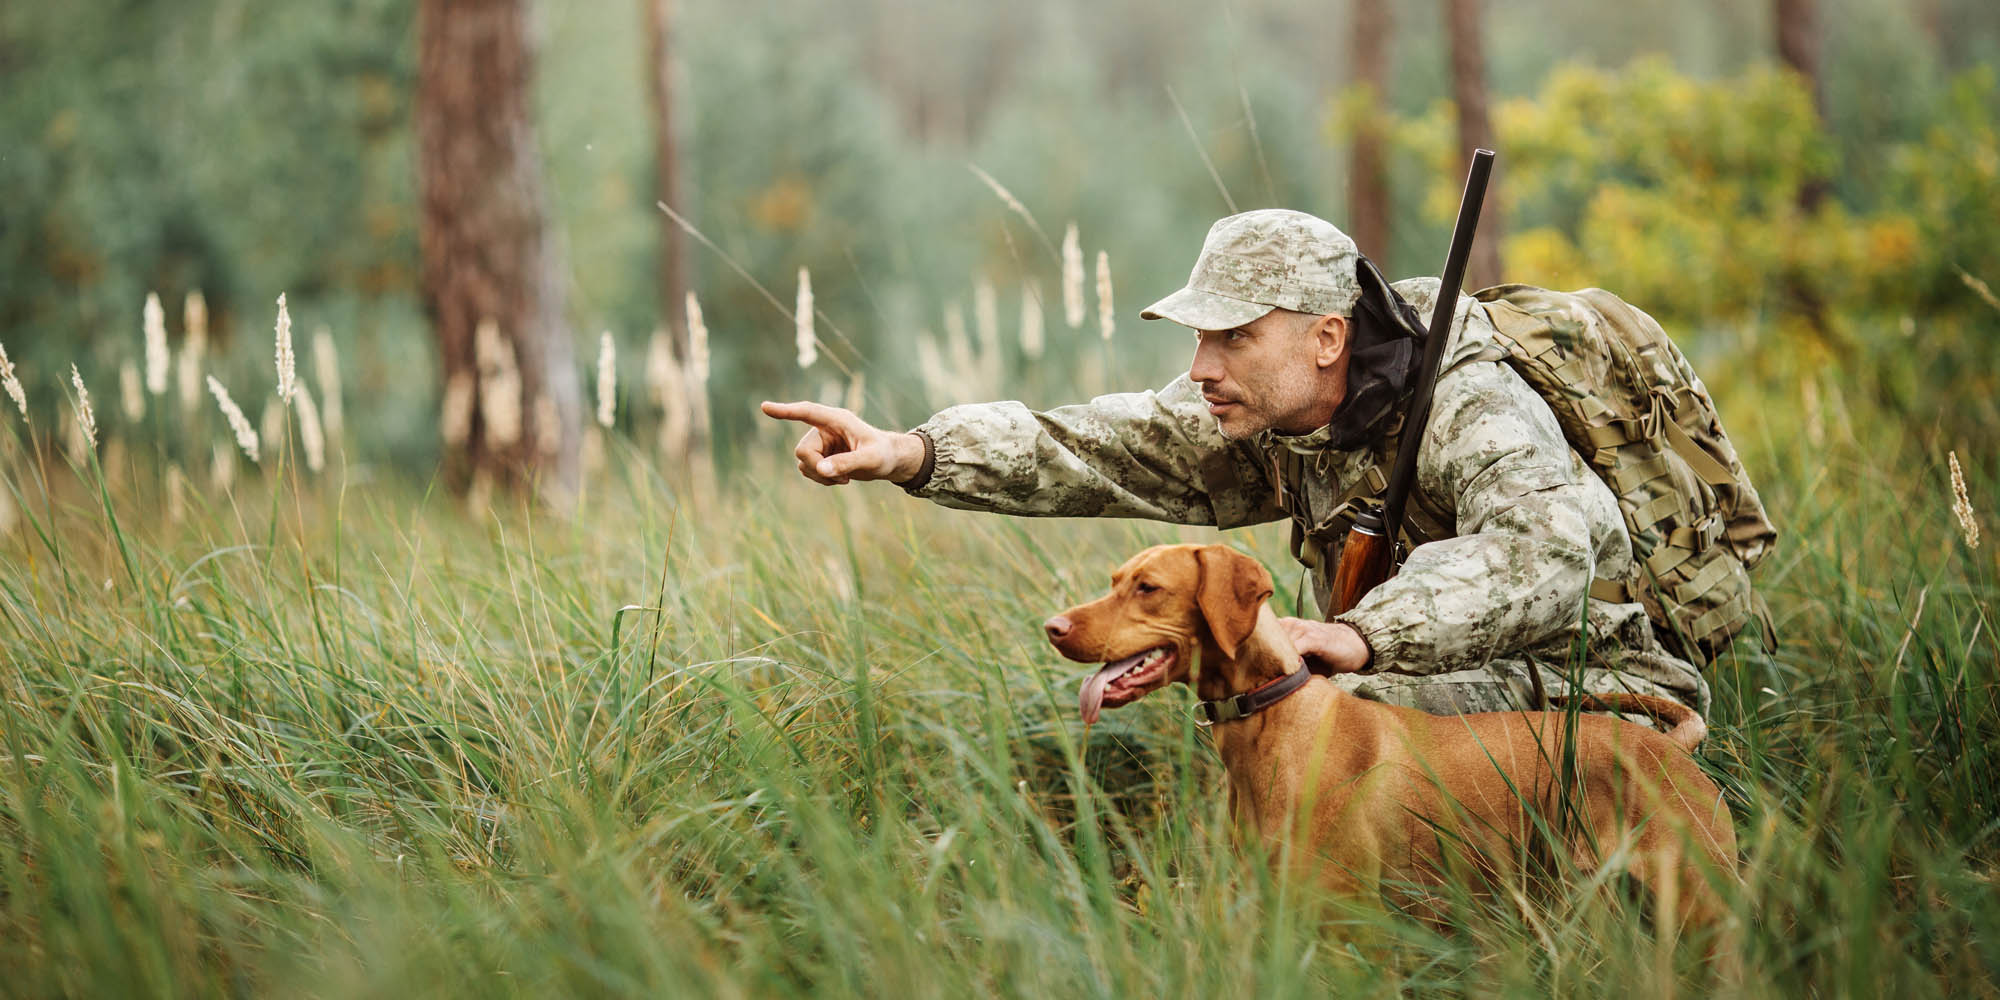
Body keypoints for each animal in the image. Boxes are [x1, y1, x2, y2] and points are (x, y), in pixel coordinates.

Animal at [1048, 548, 1736, 928]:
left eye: (1149, 587)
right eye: (1115, 581)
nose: (1054, 627)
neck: (1272, 717)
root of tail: (1670, 747)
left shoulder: (1348, 917)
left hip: (1701, 905)